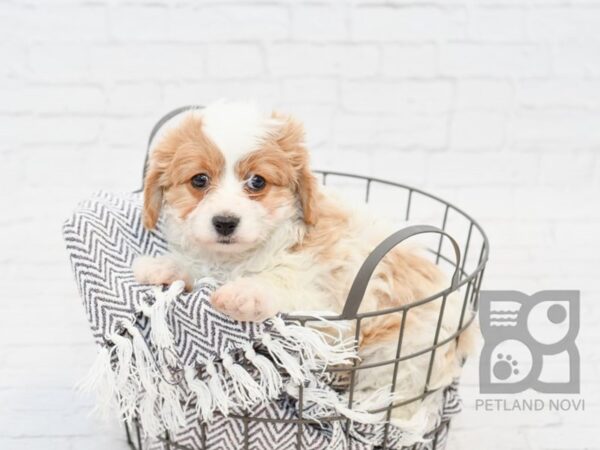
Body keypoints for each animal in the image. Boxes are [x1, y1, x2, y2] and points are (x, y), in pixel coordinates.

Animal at [132, 101, 478, 426]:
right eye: (199, 180)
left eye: (257, 182)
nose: (225, 222)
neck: (238, 258)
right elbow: (195, 268)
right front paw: (162, 266)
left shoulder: (323, 302)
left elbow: (280, 282)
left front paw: (245, 293)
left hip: (402, 355)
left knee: (399, 397)